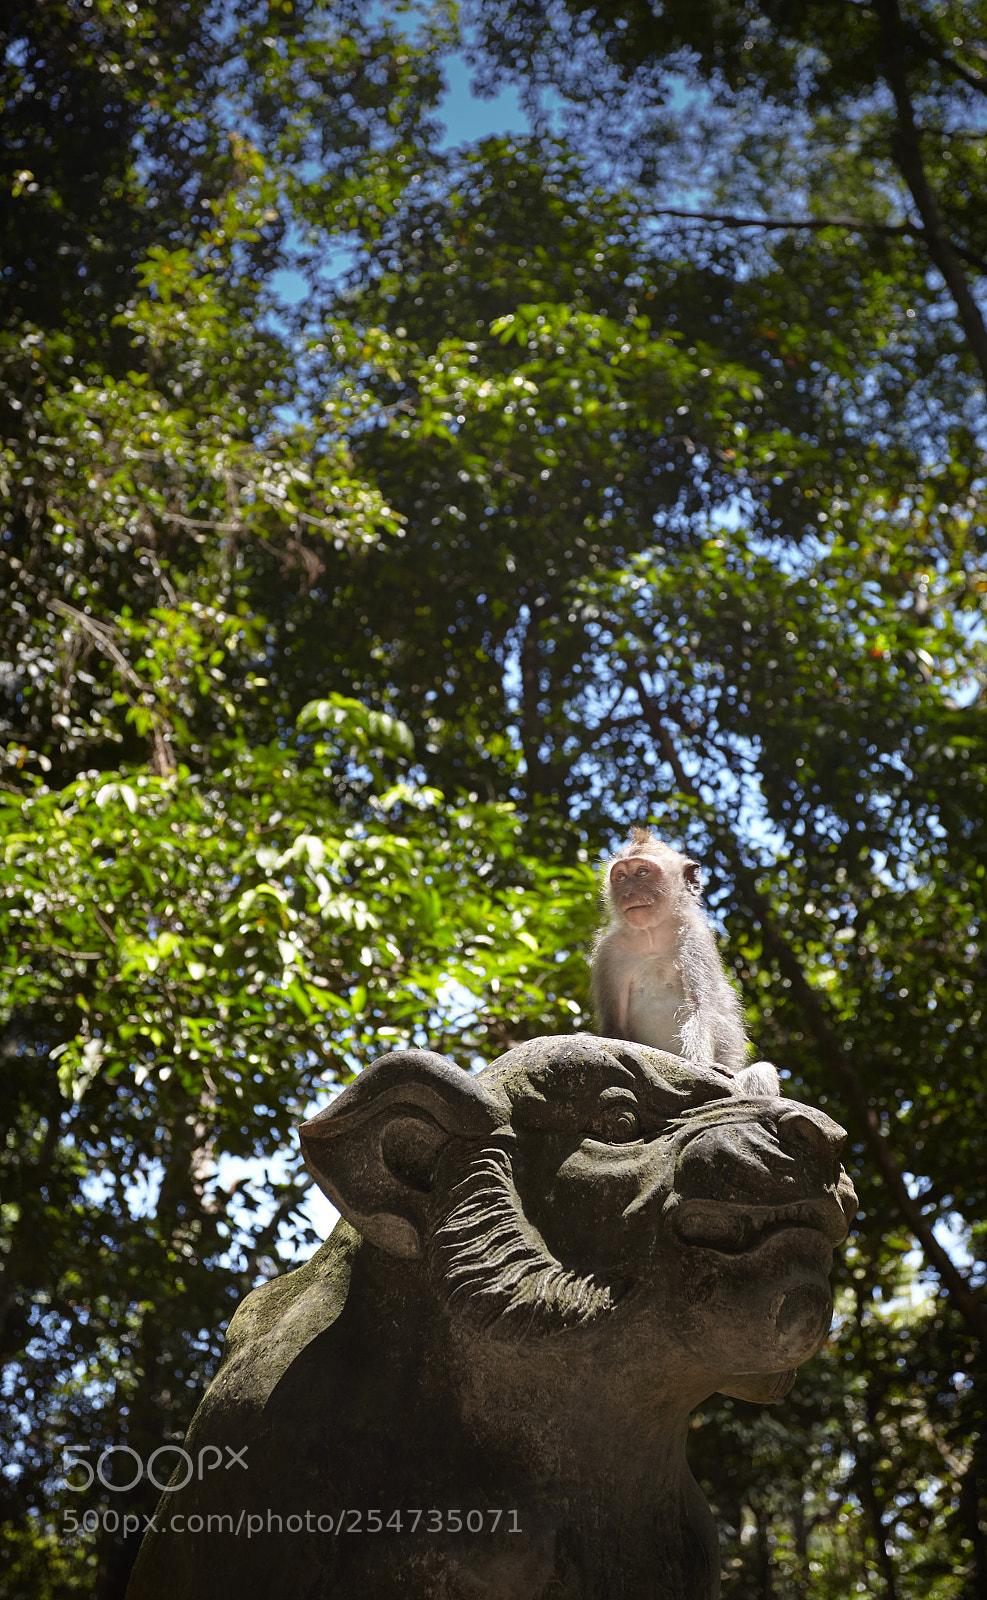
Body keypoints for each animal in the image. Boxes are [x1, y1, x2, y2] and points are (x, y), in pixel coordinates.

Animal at [591, 829, 750, 1072]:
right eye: (621, 877)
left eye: (642, 872)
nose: (627, 892)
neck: (651, 939)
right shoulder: (608, 952)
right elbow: (613, 1025)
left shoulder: (696, 941)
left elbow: (700, 1010)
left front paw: (704, 1064)